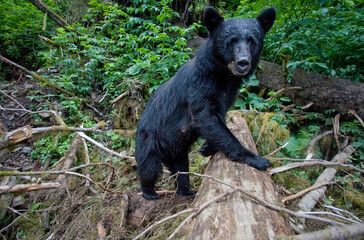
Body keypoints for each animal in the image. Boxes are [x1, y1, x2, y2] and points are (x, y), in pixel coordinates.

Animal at [136, 7, 276, 199]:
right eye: (231, 41)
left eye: (252, 41)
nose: (243, 63)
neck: (224, 76)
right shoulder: (199, 85)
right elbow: (206, 117)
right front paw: (257, 159)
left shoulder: (229, 93)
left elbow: (218, 121)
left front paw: (207, 147)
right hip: (149, 139)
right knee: (149, 167)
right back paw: (149, 191)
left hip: (178, 151)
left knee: (181, 169)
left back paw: (186, 190)